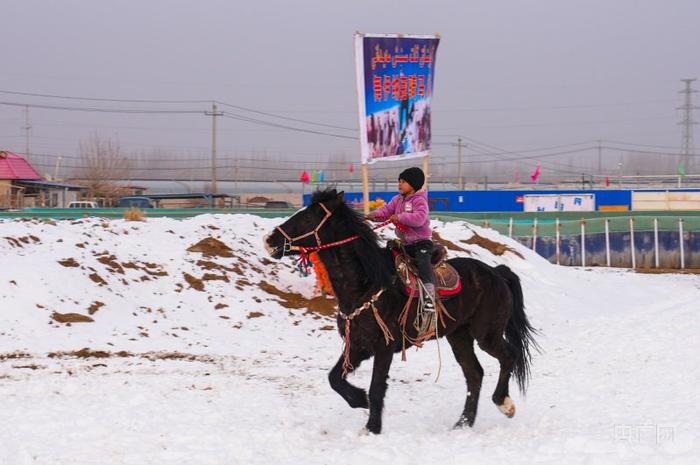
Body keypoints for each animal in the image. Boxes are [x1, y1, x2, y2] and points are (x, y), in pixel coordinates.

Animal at [266, 188, 540, 436]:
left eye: (308, 218)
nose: (270, 241)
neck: (367, 284)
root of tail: (497, 272)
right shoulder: (357, 346)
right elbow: (334, 378)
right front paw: (360, 400)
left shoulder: (383, 347)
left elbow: (377, 387)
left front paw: (372, 427)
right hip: (459, 336)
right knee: (475, 374)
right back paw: (463, 423)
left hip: (486, 334)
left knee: (508, 356)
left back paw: (504, 404)